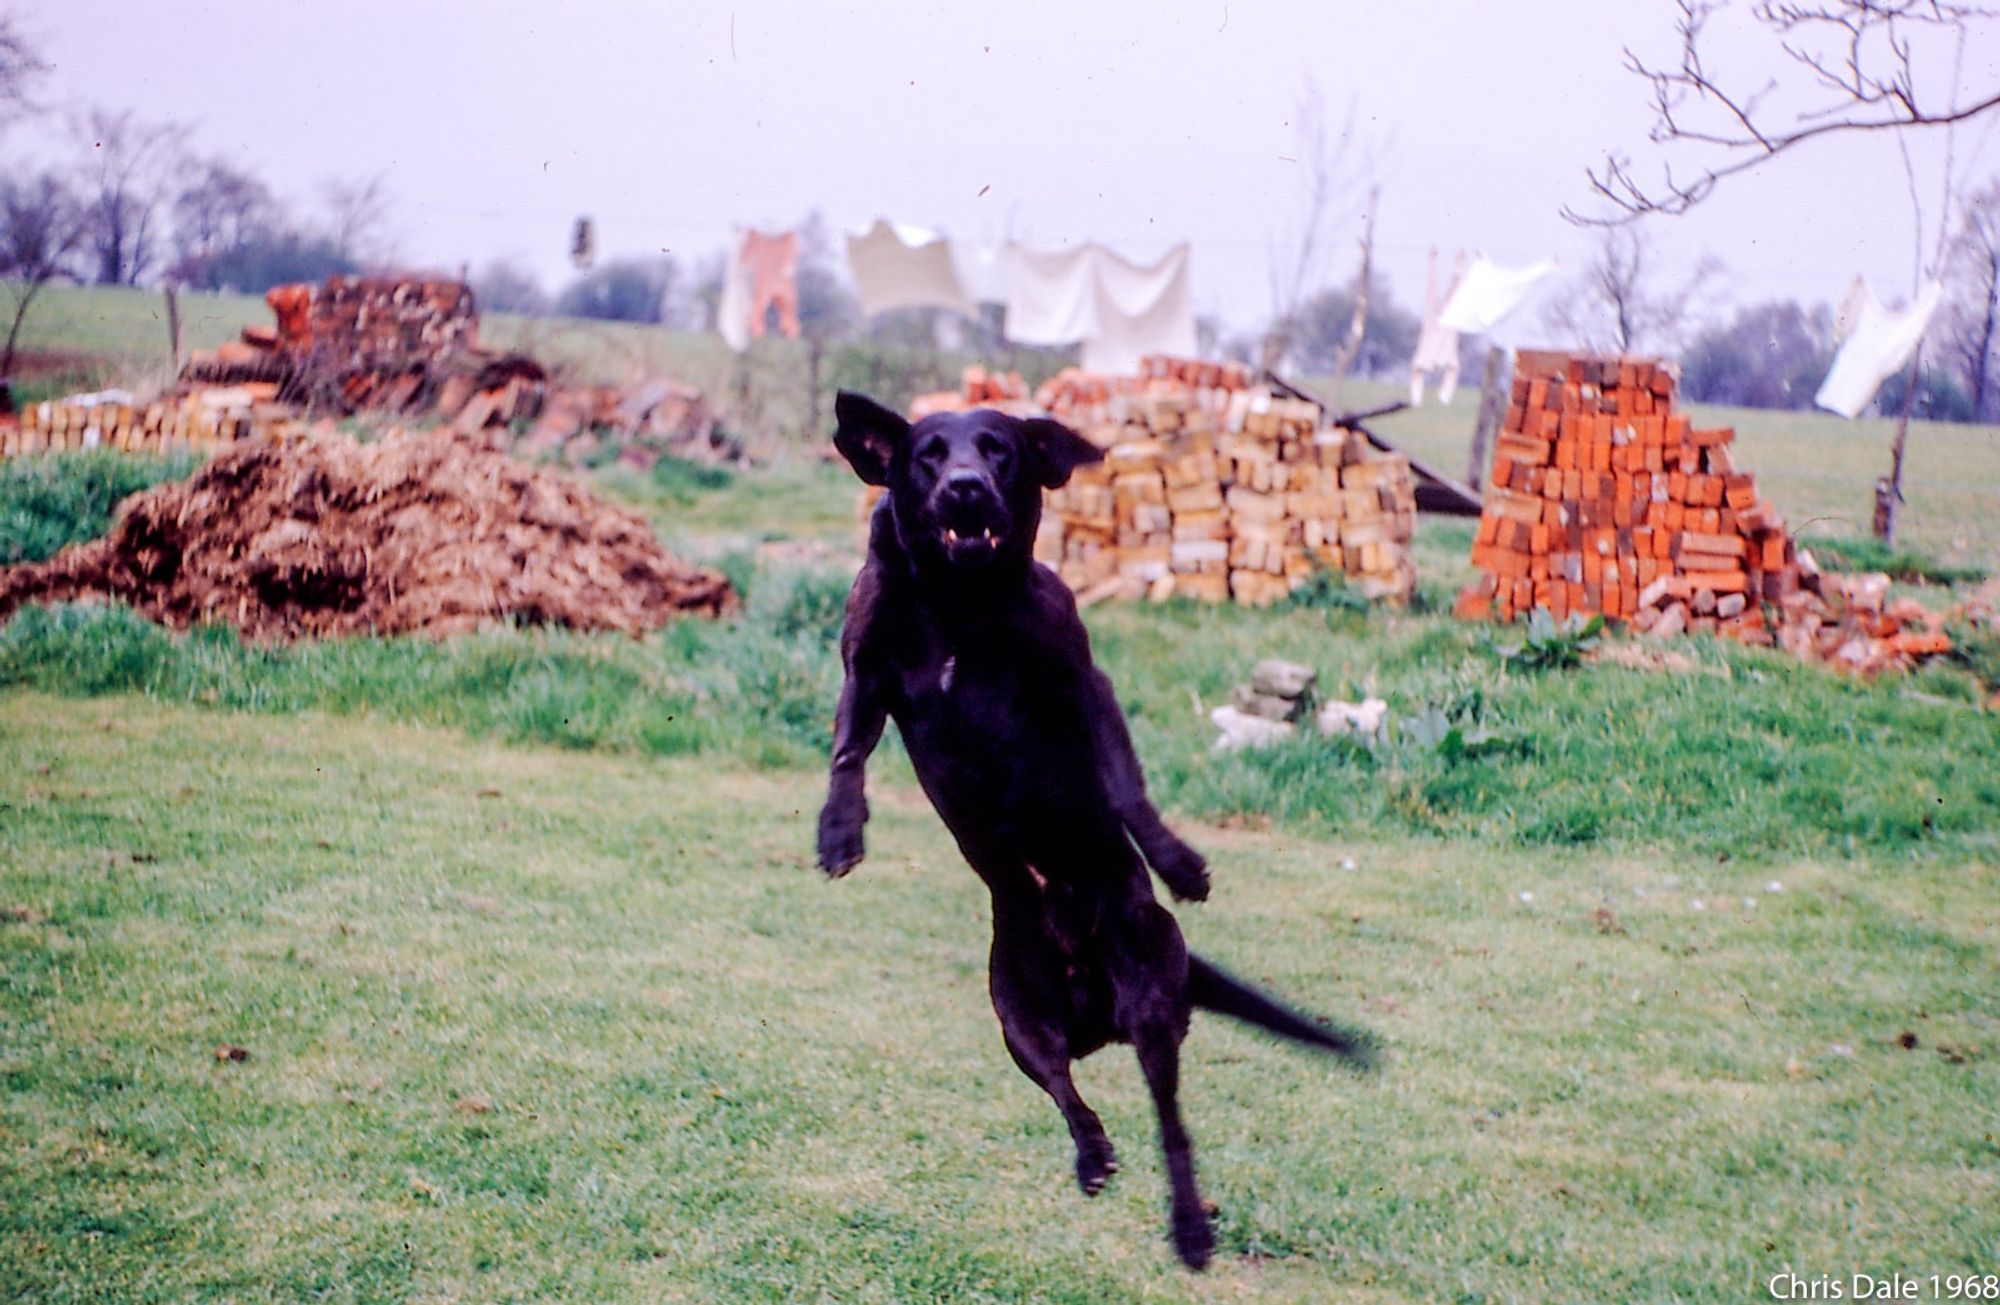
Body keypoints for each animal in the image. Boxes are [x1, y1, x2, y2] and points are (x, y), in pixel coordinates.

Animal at [816, 388, 1376, 1264]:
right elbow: (847, 748)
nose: (967, 488)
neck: (960, 600)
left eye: (1000, 450)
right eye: (927, 455)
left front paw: (1179, 862)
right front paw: (839, 831)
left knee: (1171, 1124)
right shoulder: (867, 669)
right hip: (1017, 1017)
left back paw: (1188, 1227)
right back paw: (1091, 1154)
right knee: (1069, 1094)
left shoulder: (1081, 678)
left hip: (1151, 1002)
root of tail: (1096, 1012)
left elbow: (1126, 788)